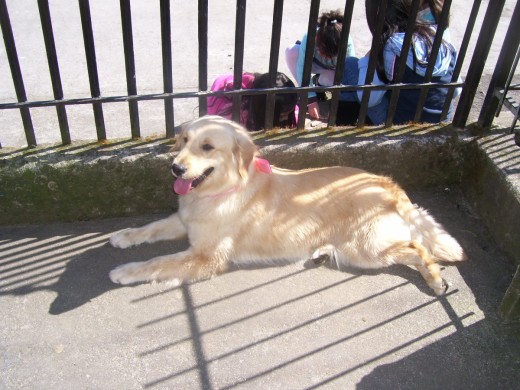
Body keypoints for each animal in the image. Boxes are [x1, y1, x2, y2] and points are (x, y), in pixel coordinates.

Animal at [108, 116, 464, 296]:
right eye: (183, 141)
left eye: (207, 147)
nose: (175, 169)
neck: (220, 190)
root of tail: (388, 182)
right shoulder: (184, 220)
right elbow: (151, 227)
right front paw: (124, 236)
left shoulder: (205, 257)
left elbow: (158, 262)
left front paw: (125, 270)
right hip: (356, 250)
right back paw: (321, 251)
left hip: (367, 247)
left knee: (417, 248)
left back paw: (435, 279)